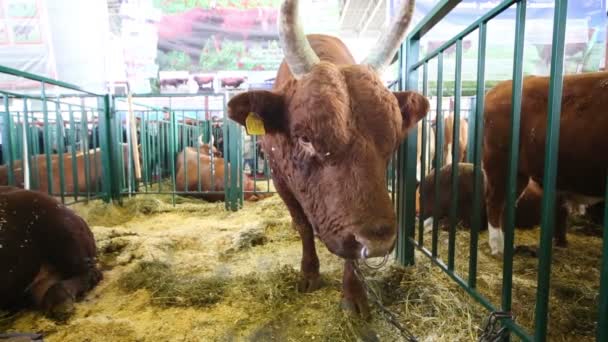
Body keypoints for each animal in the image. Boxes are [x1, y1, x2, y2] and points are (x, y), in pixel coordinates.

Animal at [224, 0, 428, 318]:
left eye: (394, 138)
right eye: (306, 137)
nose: (378, 242)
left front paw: (354, 292)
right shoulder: (280, 179)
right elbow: (303, 226)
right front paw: (309, 272)